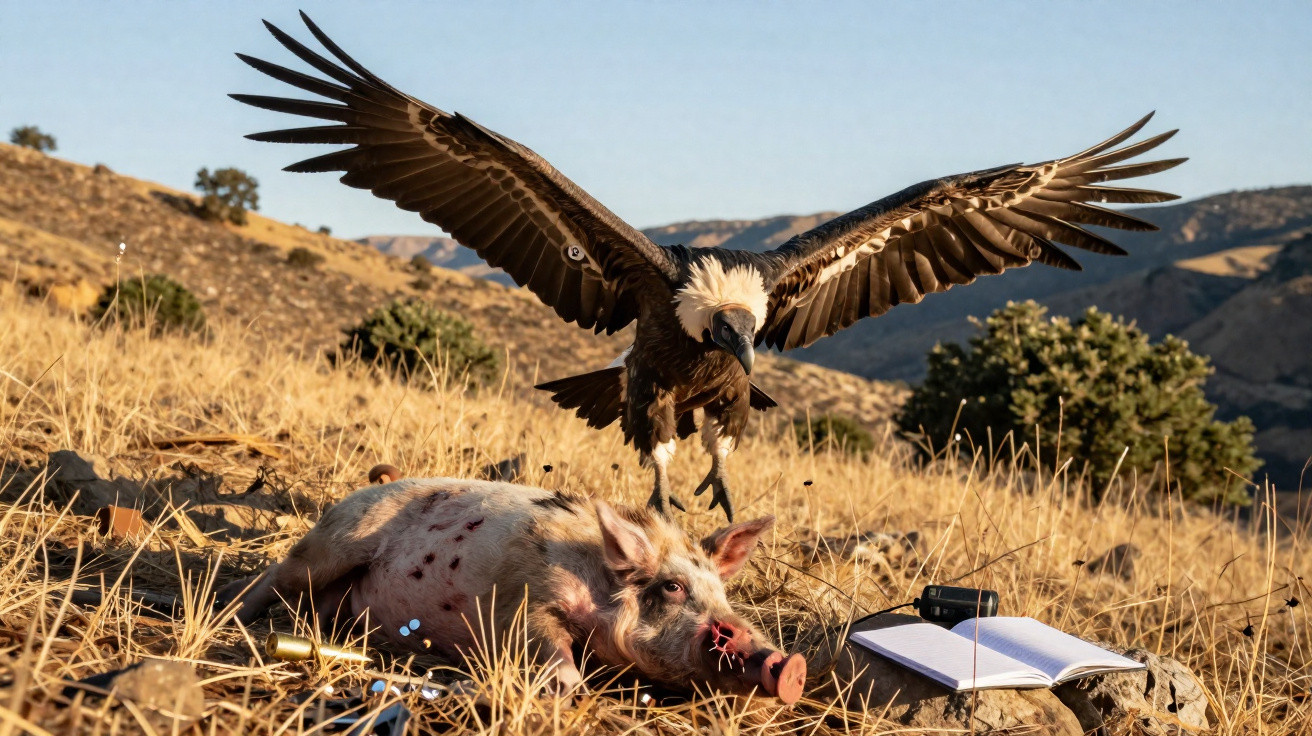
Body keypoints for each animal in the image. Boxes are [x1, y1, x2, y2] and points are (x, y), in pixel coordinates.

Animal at [219, 477, 807, 703]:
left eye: (722, 597)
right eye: (673, 587)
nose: (790, 664)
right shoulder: (523, 597)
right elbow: (549, 648)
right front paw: (566, 689)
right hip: (335, 540)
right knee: (273, 576)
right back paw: (231, 616)